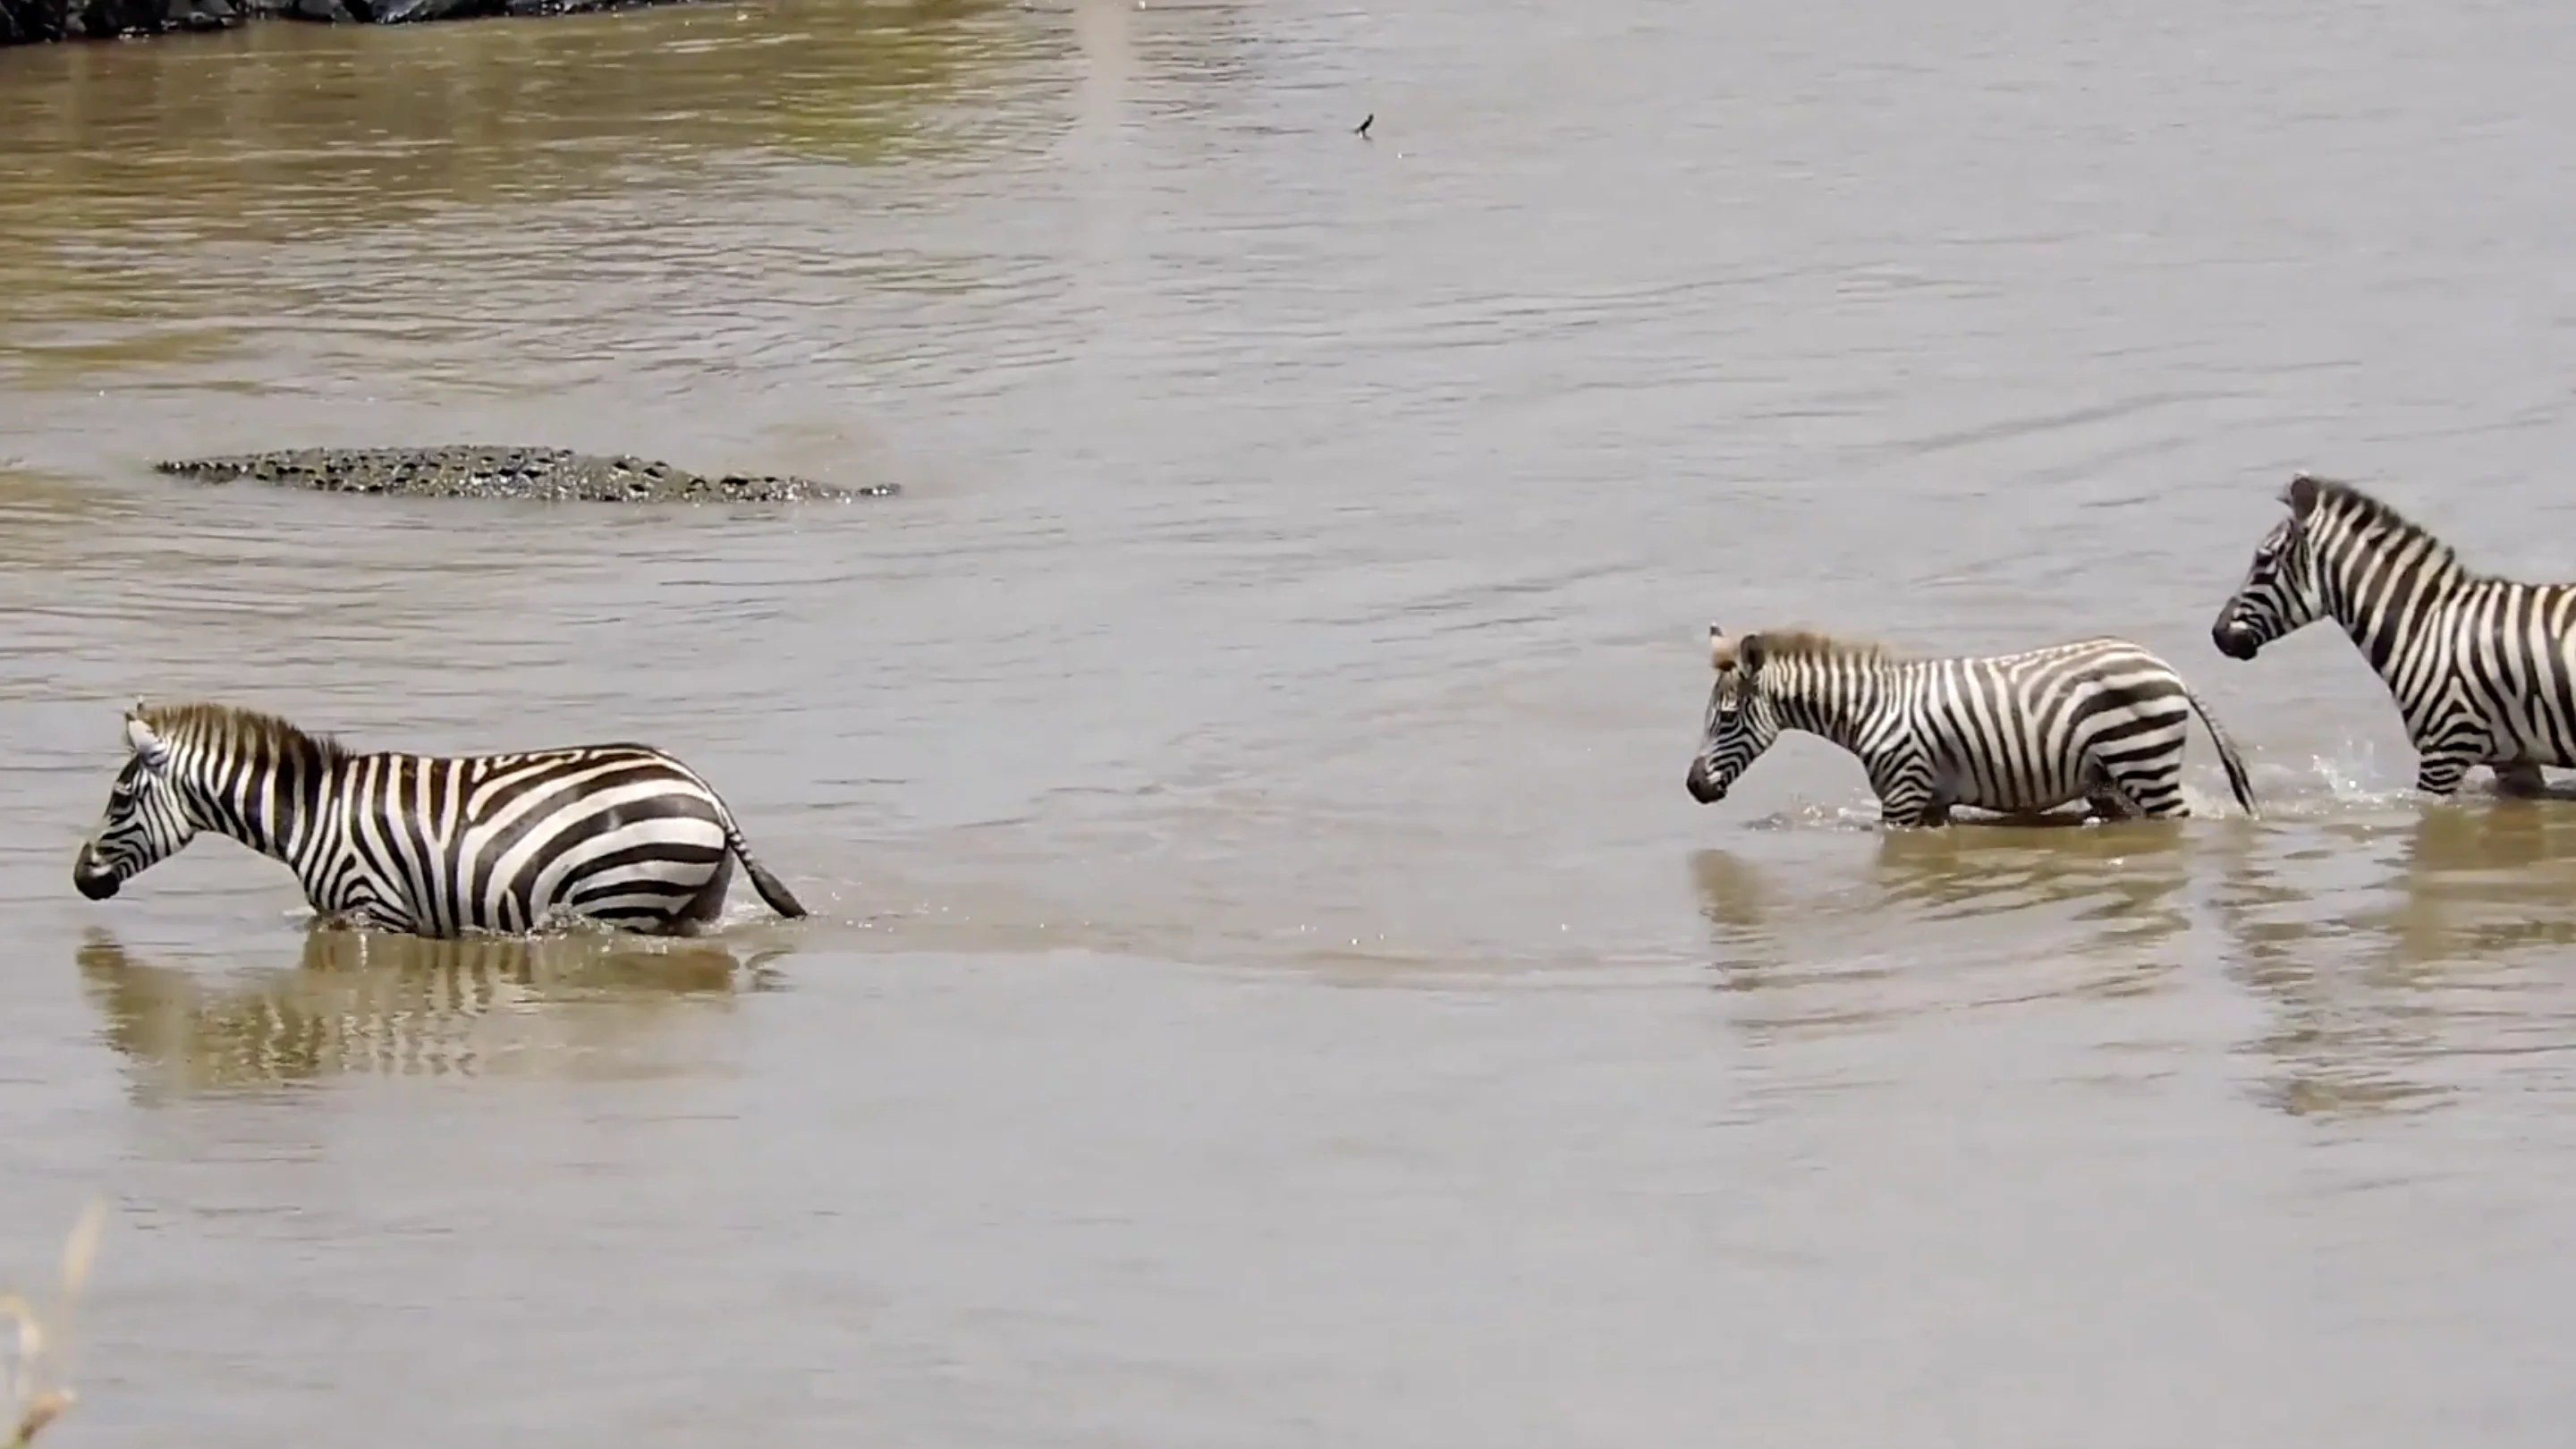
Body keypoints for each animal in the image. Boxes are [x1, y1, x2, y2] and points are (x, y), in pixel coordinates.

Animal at [72, 700, 809, 937]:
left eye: (119, 798)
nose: (80, 879)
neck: (307, 815)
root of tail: (702, 787)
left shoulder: (373, 911)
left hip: (620, 895)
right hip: (690, 904)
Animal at [1683, 626, 2258, 827]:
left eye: (1727, 719)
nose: (1693, 787)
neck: (1870, 711)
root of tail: (2171, 671)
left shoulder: (1903, 797)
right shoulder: (1932, 801)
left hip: (2144, 763)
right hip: (2115, 779)